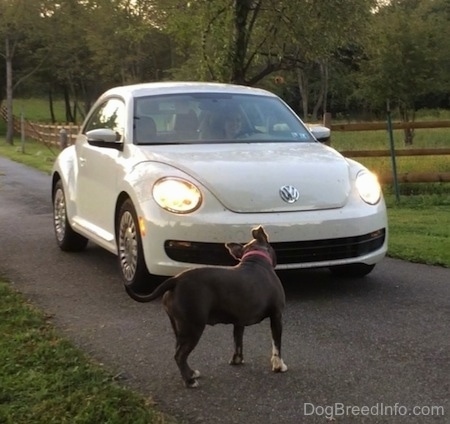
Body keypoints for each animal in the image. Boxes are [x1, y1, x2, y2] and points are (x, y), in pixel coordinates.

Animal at [126, 225, 288, 388]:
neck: (256, 260)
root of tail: (176, 280)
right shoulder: (276, 316)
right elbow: (276, 345)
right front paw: (278, 366)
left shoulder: (239, 321)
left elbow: (238, 341)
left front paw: (237, 360)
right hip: (193, 327)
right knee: (179, 355)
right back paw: (189, 381)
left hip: (179, 326)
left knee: (179, 351)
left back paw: (191, 373)